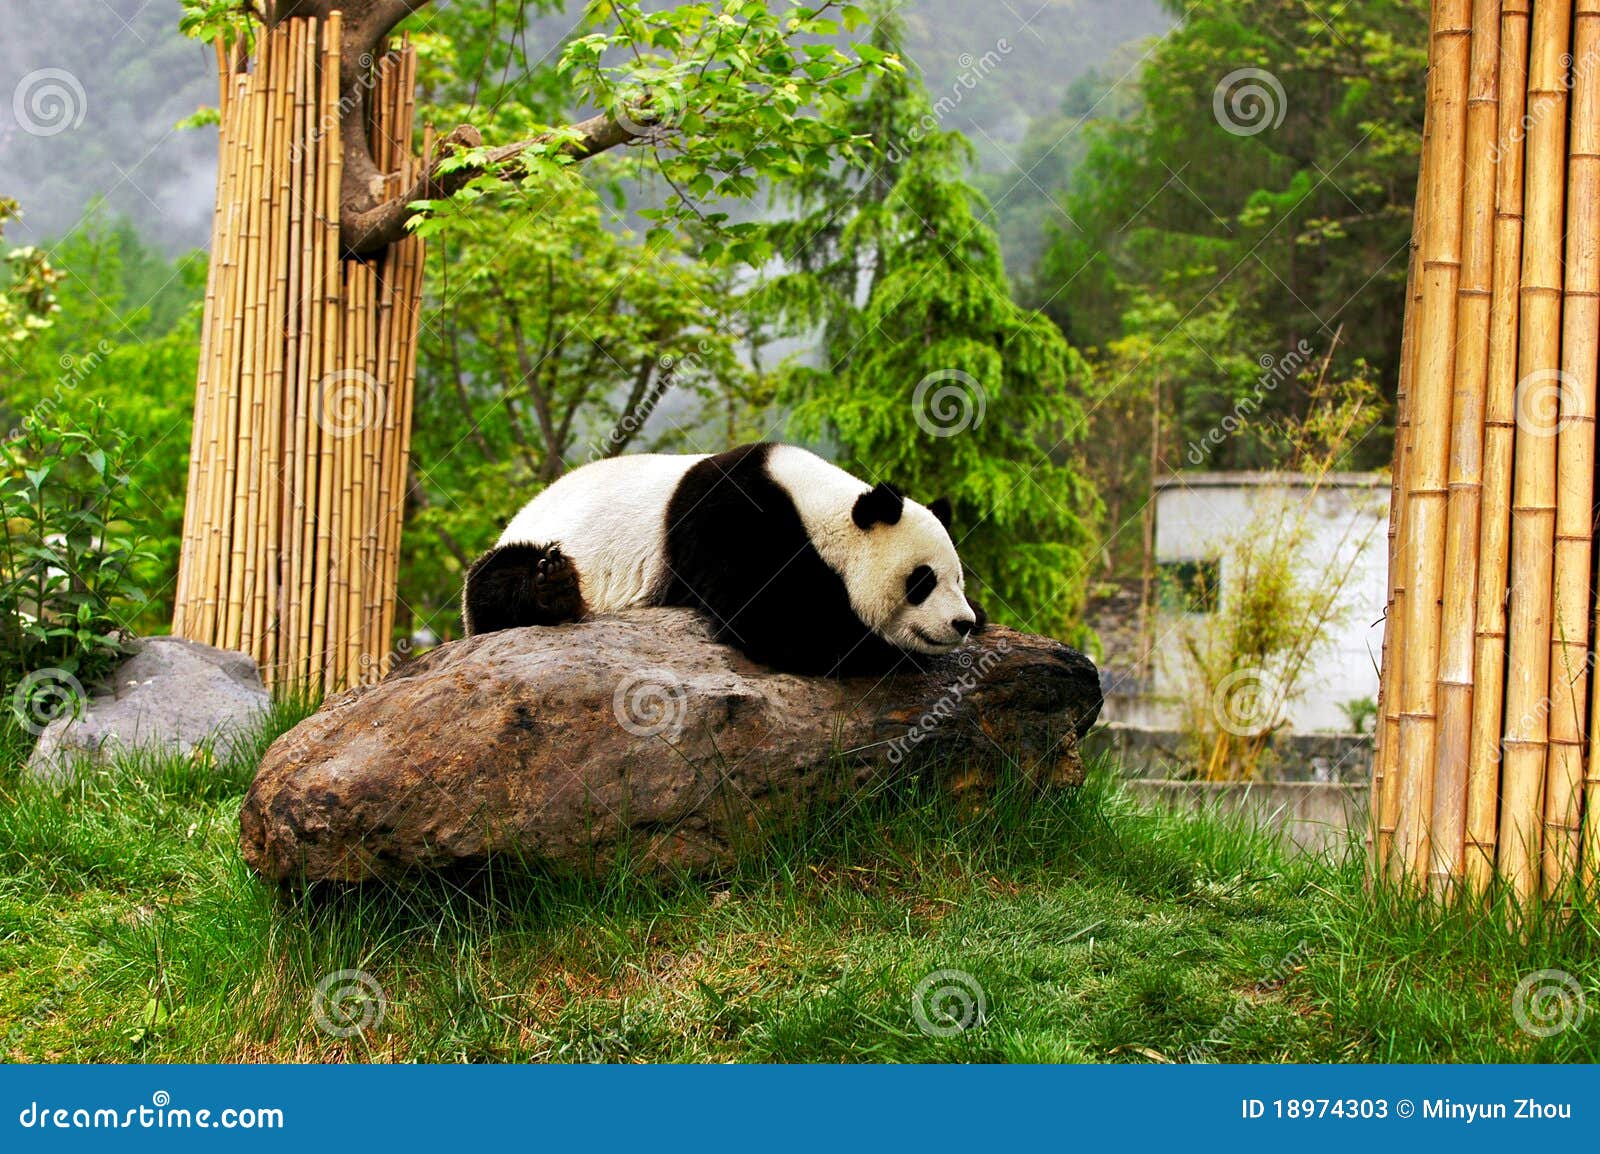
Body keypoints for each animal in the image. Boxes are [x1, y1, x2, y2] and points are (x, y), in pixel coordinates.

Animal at [464, 441, 979, 675]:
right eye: (922, 581)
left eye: (959, 580)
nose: (963, 623)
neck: (819, 506)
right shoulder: (734, 520)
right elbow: (776, 623)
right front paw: (880, 648)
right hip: (538, 539)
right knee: (494, 582)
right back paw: (553, 587)